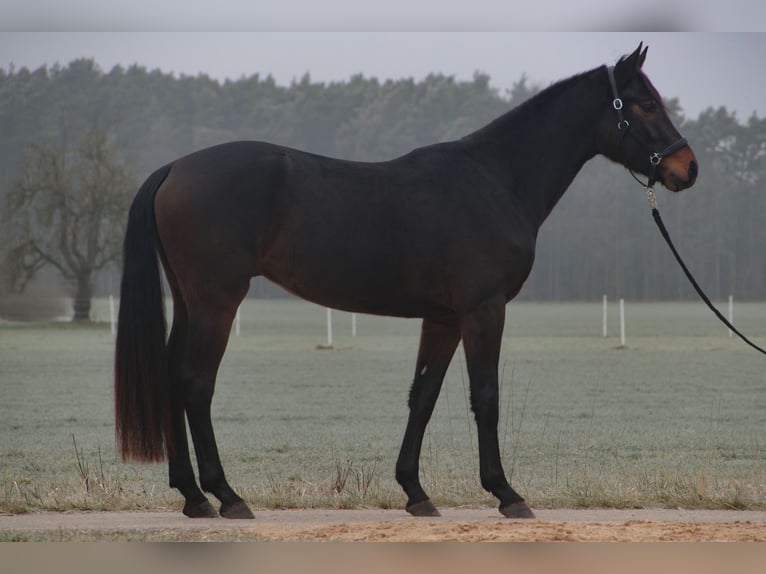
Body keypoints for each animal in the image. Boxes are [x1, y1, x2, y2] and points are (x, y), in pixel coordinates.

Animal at [114, 45, 696, 520]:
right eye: (645, 104)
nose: (687, 169)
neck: (494, 179)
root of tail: (174, 169)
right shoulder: (483, 310)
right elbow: (486, 395)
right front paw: (506, 493)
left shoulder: (442, 318)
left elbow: (424, 396)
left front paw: (416, 492)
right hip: (217, 302)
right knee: (195, 383)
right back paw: (226, 495)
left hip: (189, 301)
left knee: (172, 377)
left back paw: (192, 496)